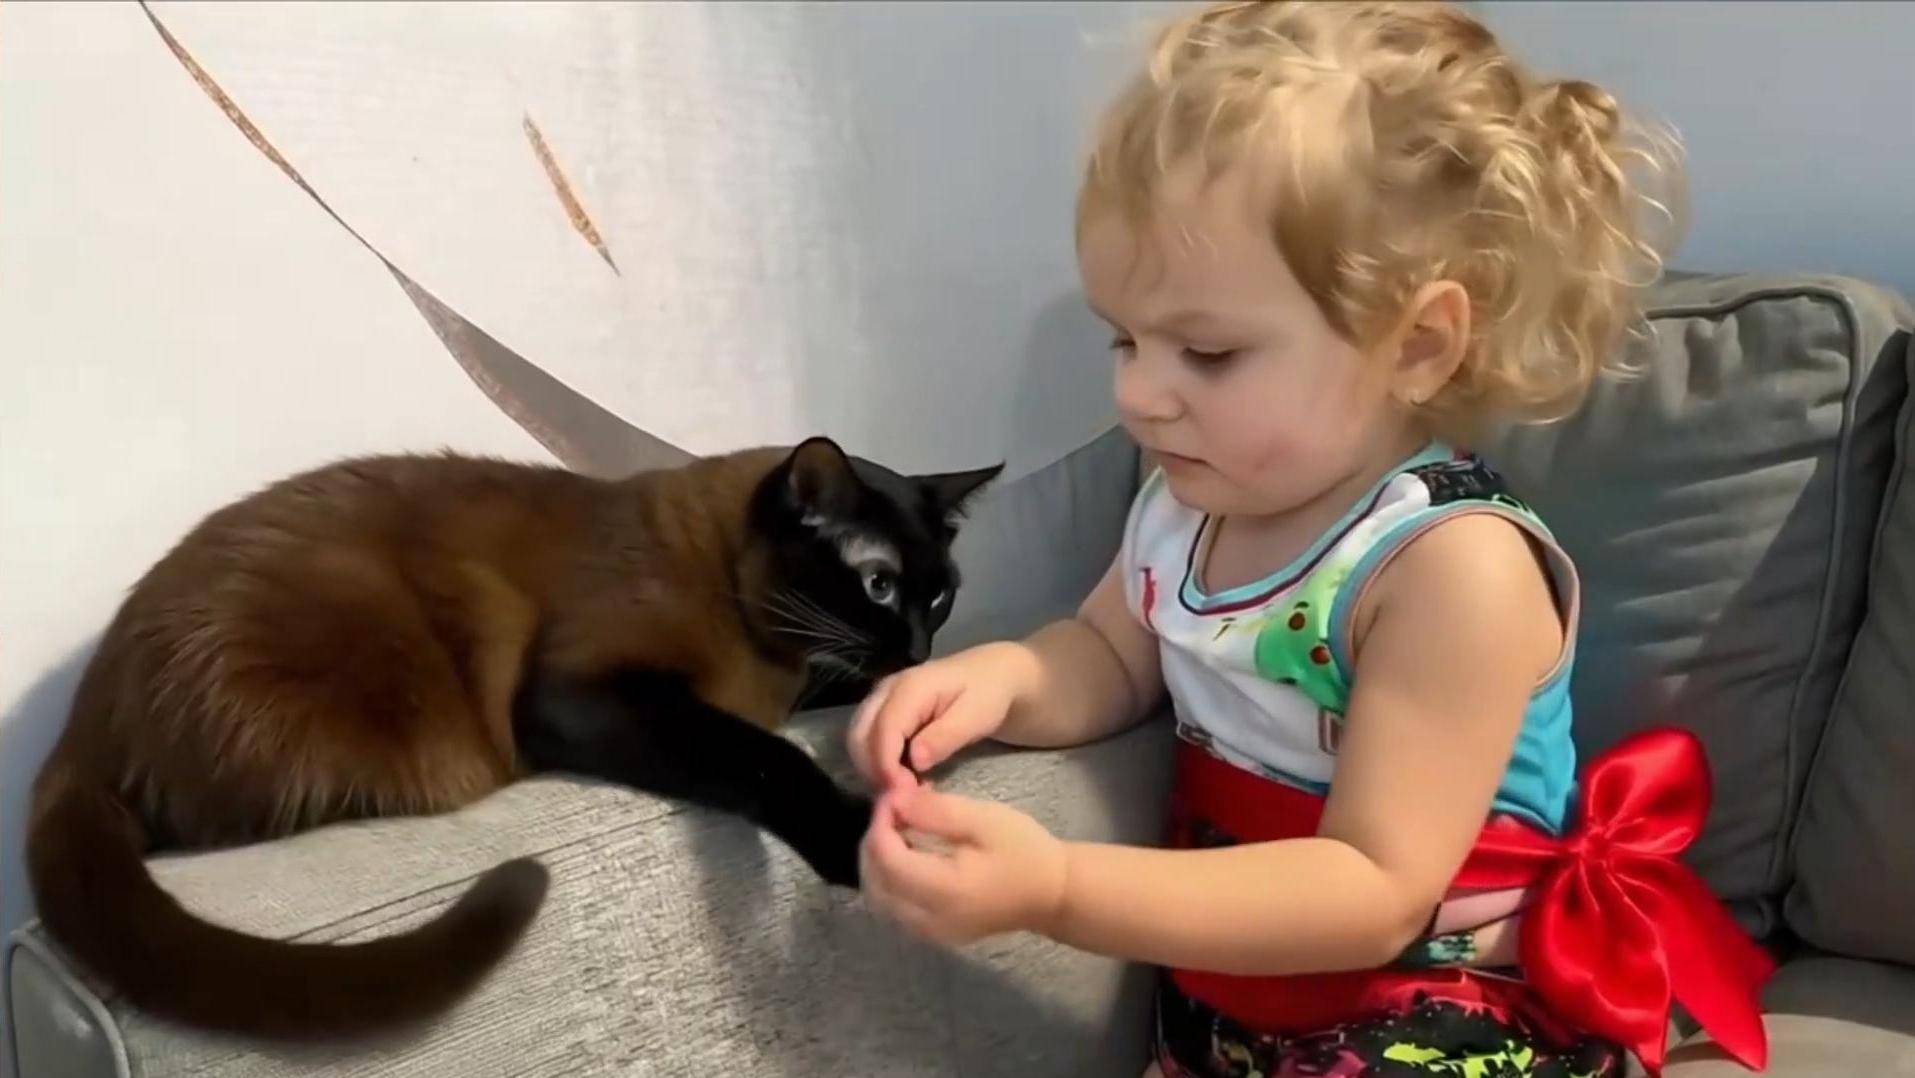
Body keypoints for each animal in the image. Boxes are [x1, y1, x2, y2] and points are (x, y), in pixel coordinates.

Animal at [26, 436, 999, 1040]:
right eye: (877, 585)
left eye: (939, 592)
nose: (917, 646)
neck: (769, 657)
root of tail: (78, 721)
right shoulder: (587, 695)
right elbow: (765, 755)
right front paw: (856, 837)